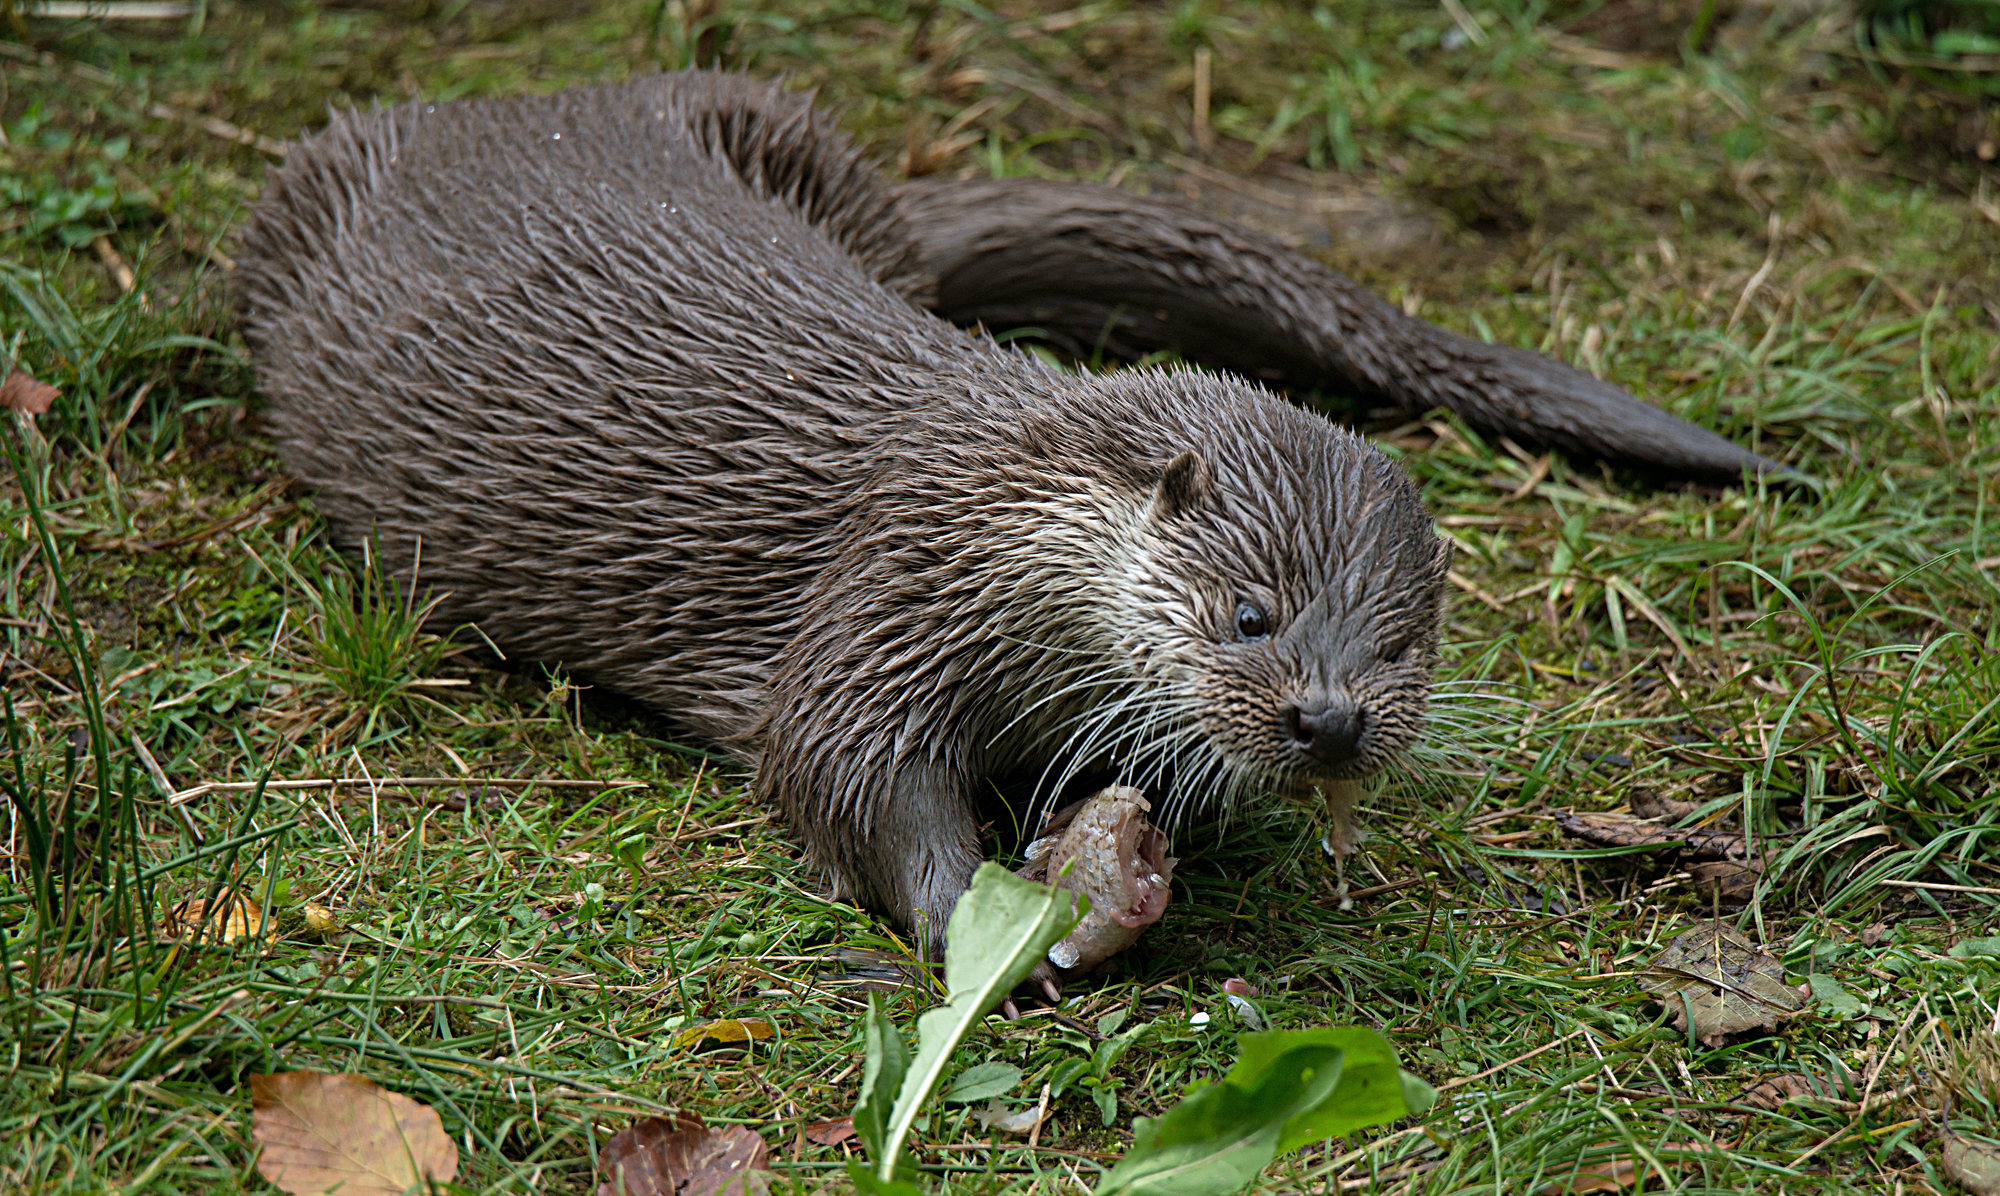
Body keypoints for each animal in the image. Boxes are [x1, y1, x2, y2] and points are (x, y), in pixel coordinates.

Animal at [234, 72, 1784, 956]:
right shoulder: (883, 595)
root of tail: (491, 108)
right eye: (1250, 614)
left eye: (1402, 647)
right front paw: (982, 919)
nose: (1330, 719)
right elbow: (837, 763)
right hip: (302, 196)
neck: (999, 512)